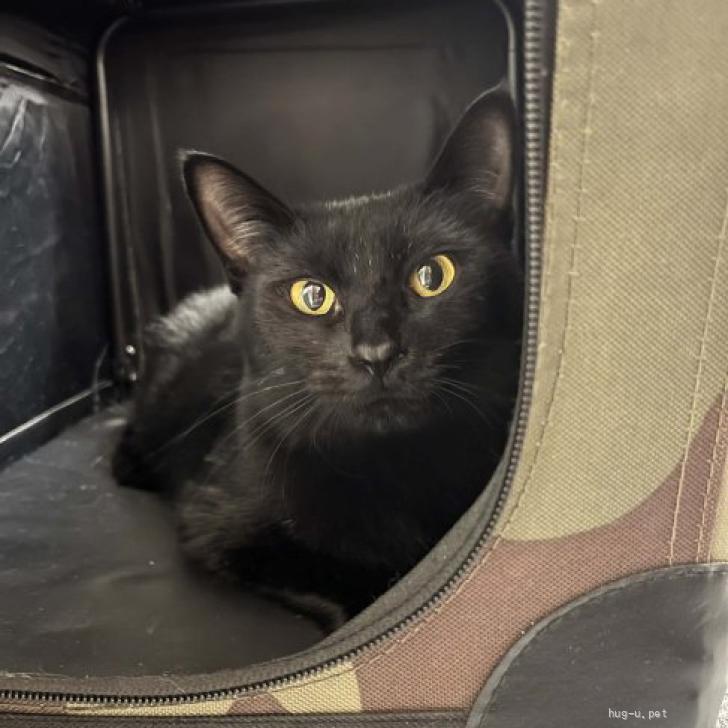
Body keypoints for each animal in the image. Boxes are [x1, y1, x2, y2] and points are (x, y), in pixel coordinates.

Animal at [113, 90, 522, 630]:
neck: (388, 464)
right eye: (312, 295)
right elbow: (348, 586)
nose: (376, 353)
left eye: (433, 275)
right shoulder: (218, 528)